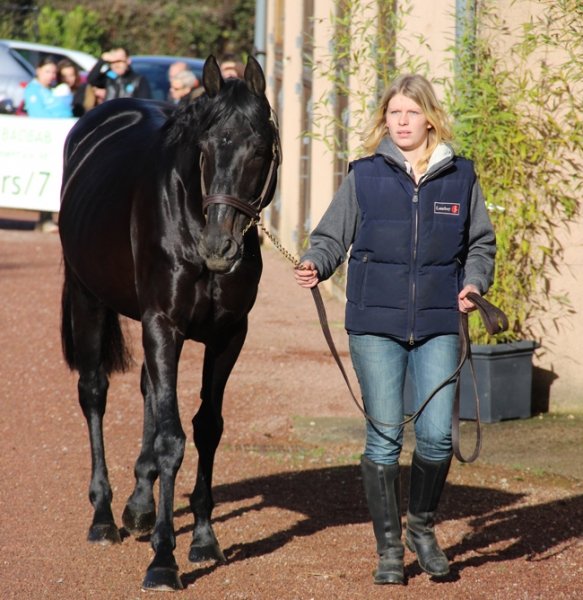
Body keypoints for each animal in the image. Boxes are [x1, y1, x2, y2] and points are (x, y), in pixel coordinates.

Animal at [58, 55, 280, 591]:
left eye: (260, 150)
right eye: (206, 148)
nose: (220, 248)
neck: (192, 217)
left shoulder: (228, 335)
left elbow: (206, 428)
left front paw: (203, 539)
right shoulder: (164, 324)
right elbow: (170, 439)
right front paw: (163, 559)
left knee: (146, 390)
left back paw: (138, 506)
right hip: (88, 299)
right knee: (94, 392)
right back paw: (103, 516)